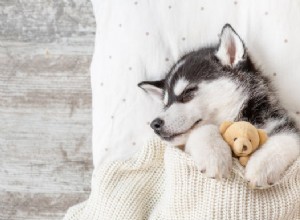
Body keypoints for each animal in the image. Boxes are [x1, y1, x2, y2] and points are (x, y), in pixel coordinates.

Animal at [138, 23, 300, 187]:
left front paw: (261, 166)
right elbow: (204, 128)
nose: (155, 124)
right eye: (165, 105)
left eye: (188, 92)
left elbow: (286, 139)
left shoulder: (282, 122)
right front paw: (214, 155)